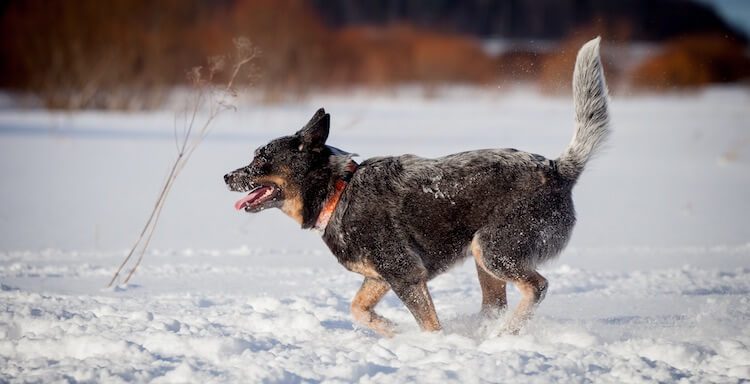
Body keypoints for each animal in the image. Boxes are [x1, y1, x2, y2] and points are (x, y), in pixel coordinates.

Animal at [225, 37, 612, 334]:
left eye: (260, 158)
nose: (226, 176)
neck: (339, 191)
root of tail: (557, 168)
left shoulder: (405, 274)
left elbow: (428, 324)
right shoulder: (380, 277)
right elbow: (357, 309)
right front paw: (390, 330)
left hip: (494, 249)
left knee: (537, 287)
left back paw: (506, 333)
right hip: (483, 258)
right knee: (495, 304)